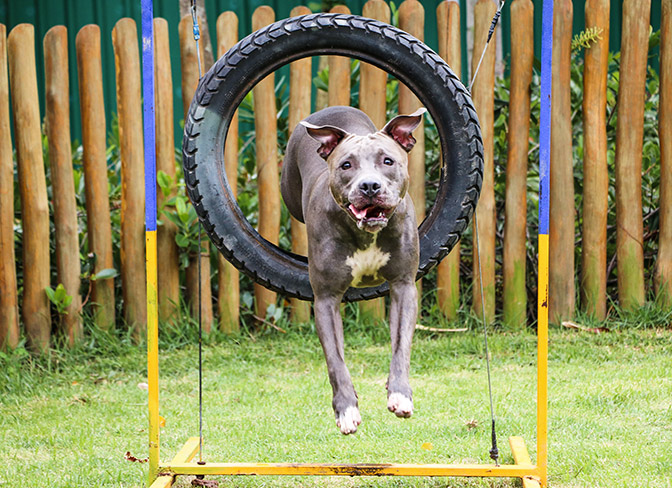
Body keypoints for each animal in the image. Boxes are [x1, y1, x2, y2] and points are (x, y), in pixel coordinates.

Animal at [280, 106, 426, 434]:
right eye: (346, 165)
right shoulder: (326, 299)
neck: (366, 232)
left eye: (388, 161)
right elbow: (336, 361)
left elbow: (401, 346)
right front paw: (346, 410)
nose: (369, 186)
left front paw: (400, 396)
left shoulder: (403, 286)